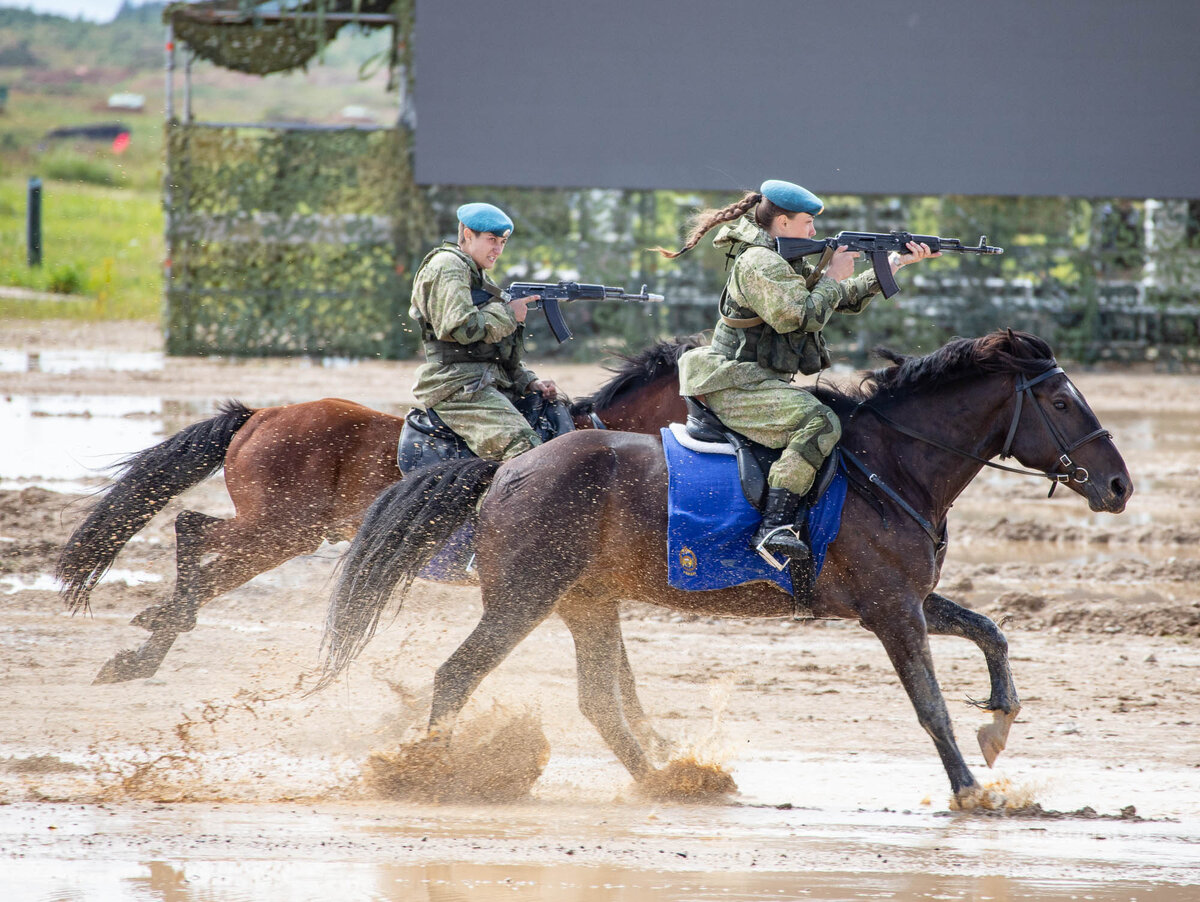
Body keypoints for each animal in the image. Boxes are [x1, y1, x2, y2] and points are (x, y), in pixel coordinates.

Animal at [60, 338, 700, 681]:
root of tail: (259, 415)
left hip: (277, 536)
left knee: (201, 558)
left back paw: (144, 649)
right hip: (277, 531)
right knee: (191, 529)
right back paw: (159, 629)